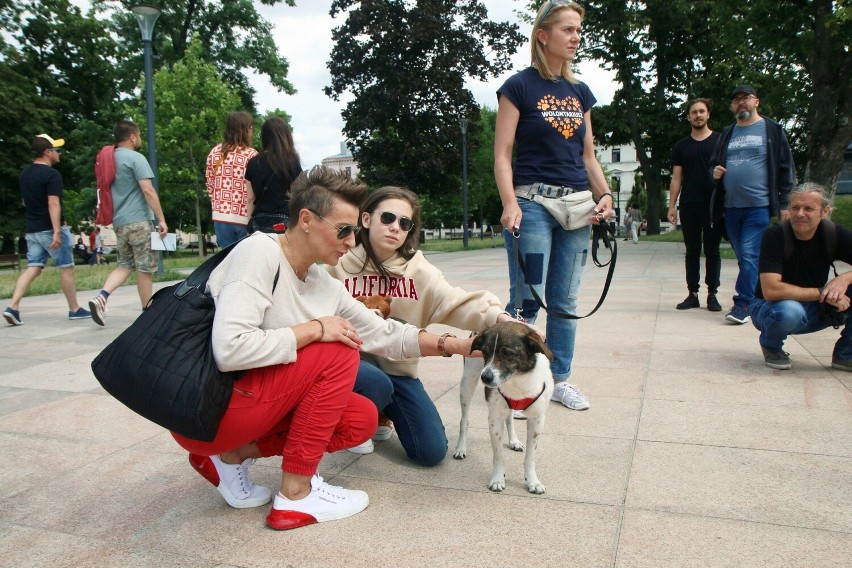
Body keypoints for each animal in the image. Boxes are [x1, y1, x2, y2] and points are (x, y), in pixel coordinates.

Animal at [452, 322, 552, 494]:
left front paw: (533, 481)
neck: (517, 380)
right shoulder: (495, 418)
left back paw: (514, 441)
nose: (485, 377)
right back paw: (461, 448)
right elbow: (498, 454)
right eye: (484, 352)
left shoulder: (537, 419)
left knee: (510, 419)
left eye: (508, 353)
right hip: (467, 384)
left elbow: (531, 456)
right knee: (464, 420)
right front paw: (498, 479)